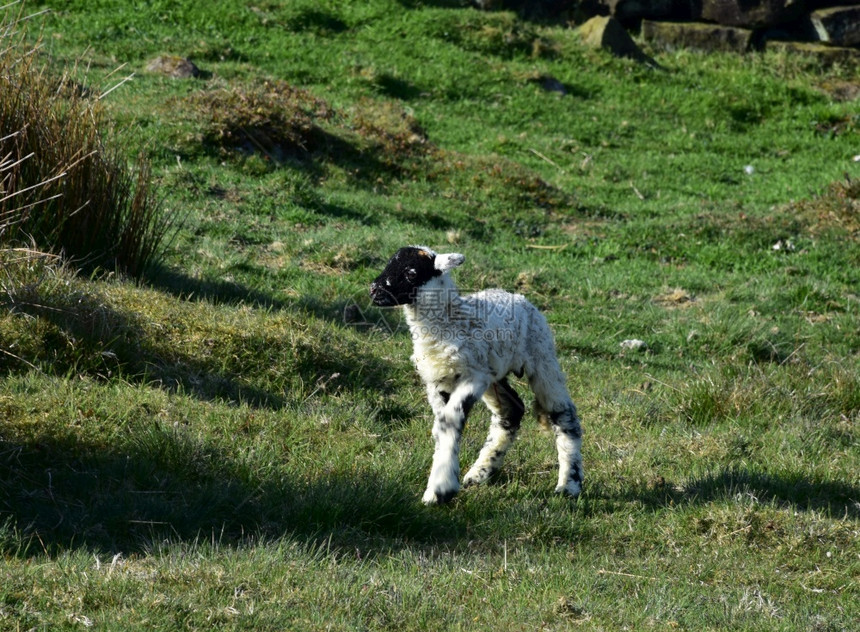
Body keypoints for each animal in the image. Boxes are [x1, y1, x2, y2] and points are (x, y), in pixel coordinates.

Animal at [370, 244, 584, 506]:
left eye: (411, 273)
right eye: (389, 263)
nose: (374, 290)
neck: (447, 322)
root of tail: (519, 298)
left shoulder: (473, 378)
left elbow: (450, 420)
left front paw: (440, 488)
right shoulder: (438, 383)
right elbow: (441, 427)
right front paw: (442, 485)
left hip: (542, 357)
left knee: (564, 414)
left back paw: (569, 484)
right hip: (495, 374)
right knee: (511, 411)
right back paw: (479, 472)